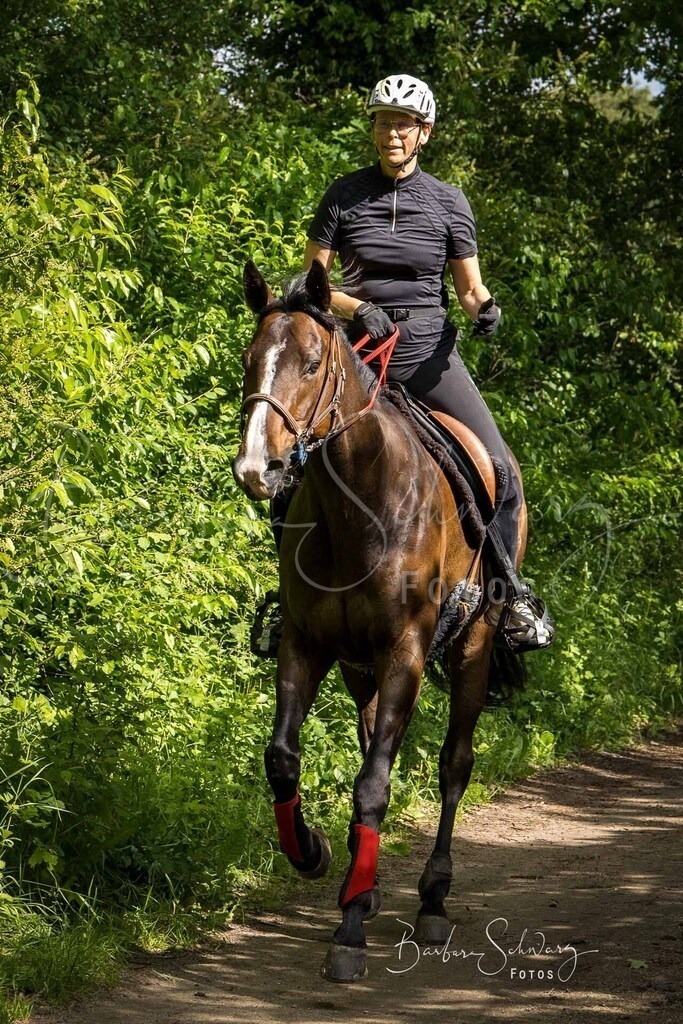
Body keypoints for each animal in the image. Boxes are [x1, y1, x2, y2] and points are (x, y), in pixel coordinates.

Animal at [232, 258, 527, 982]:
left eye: (312, 363)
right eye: (251, 359)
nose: (257, 469)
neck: (359, 499)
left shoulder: (405, 652)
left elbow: (374, 784)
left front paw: (348, 933)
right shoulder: (308, 645)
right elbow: (283, 760)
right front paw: (311, 852)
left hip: (472, 649)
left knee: (454, 763)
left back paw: (431, 900)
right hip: (358, 668)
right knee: (374, 740)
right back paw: (362, 888)